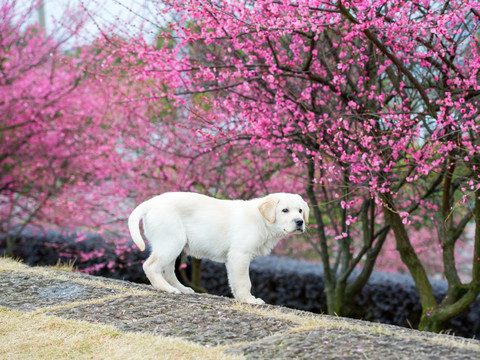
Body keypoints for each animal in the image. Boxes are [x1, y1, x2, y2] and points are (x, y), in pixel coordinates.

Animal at [127, 191, 310, 304]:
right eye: (285, 210)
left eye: (300, 211)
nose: (300, 222)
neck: (262, 220)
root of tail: (151, 202)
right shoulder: (239, 255)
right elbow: (244, 281)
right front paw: (249, 300)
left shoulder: (234, 259)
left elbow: (236, 281)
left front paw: (241, 298)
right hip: (171, 242)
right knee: (150, 266)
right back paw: (166, 288)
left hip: (172, 245)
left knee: (167, 271)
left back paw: (181, 288)